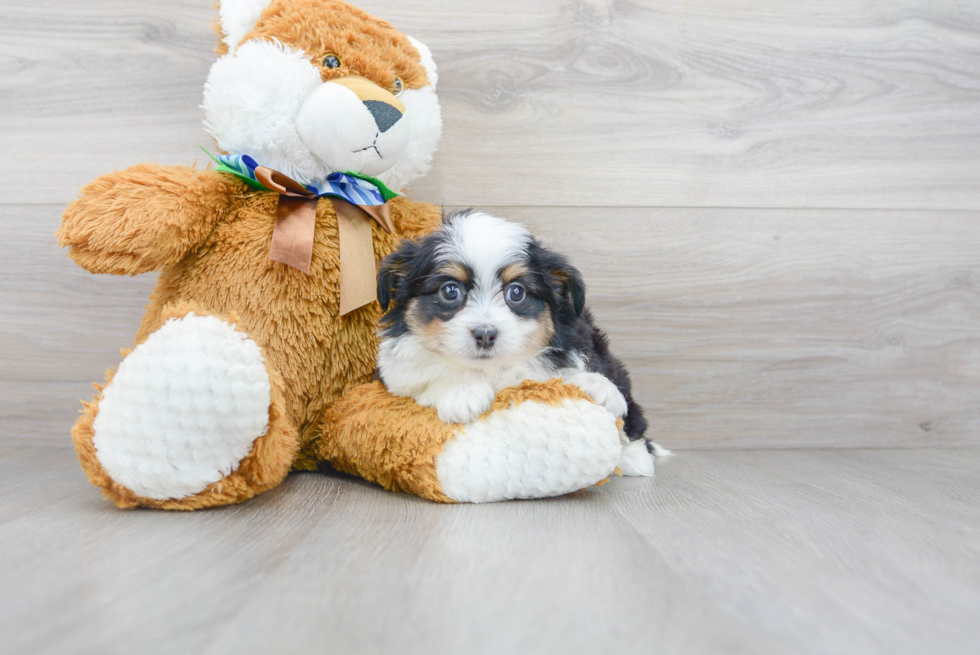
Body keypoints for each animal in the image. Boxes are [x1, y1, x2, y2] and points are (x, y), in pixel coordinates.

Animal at [376, 213, 668, 474]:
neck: (492, 369)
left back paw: (635, 459)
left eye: (516, 292)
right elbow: (431, 374)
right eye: (450, 291)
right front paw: (462, 392)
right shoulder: (397, 375)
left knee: (635, 423)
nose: (485, 334)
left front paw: (598, 386)